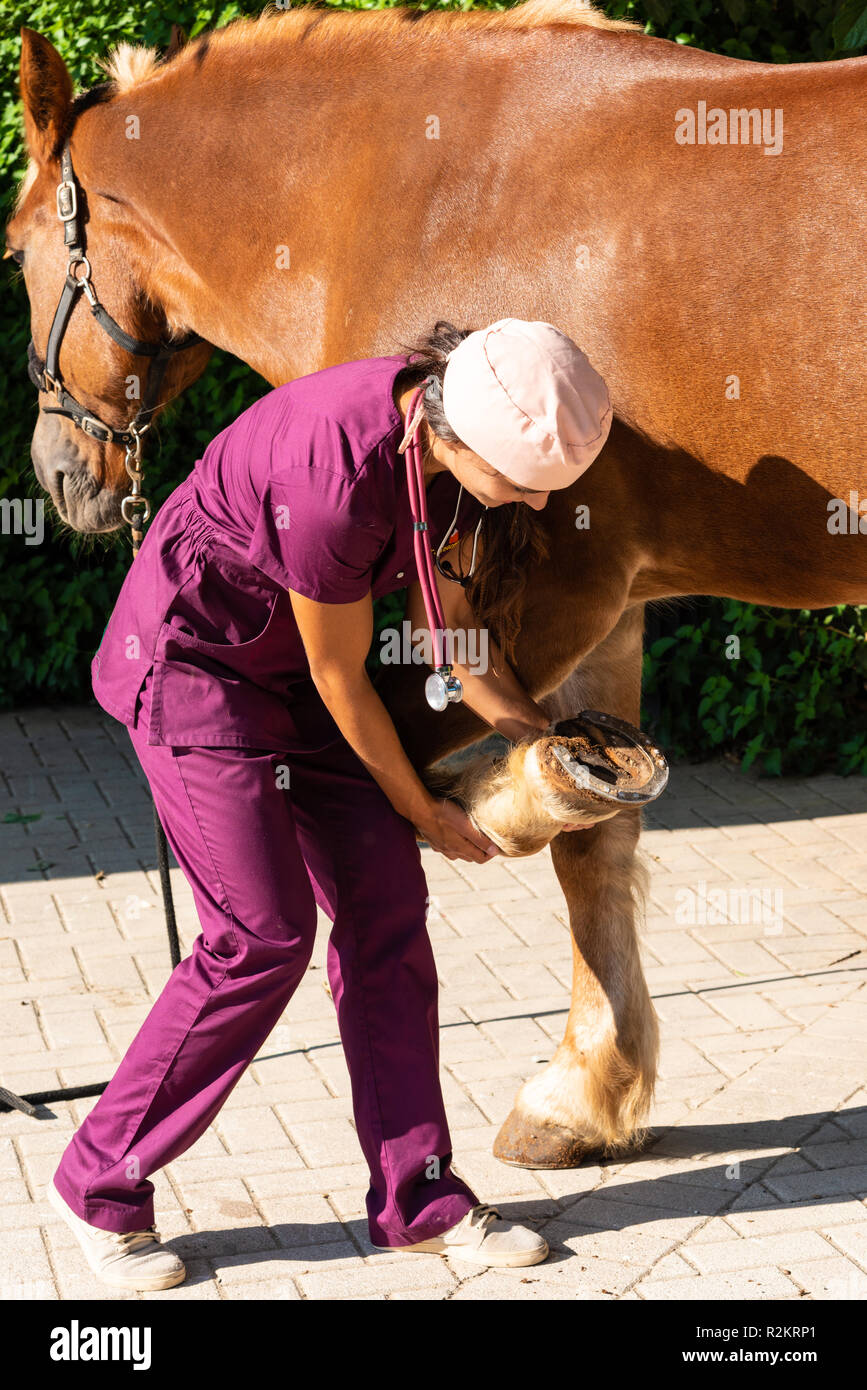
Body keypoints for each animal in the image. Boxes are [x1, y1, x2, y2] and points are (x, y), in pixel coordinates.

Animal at [6, 0, 867, 1170]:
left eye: (14, 252)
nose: (55, 473)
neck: (423, 194)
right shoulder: (609, 611)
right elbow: (591, 842)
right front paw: (583, 1099)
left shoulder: (553, 594)